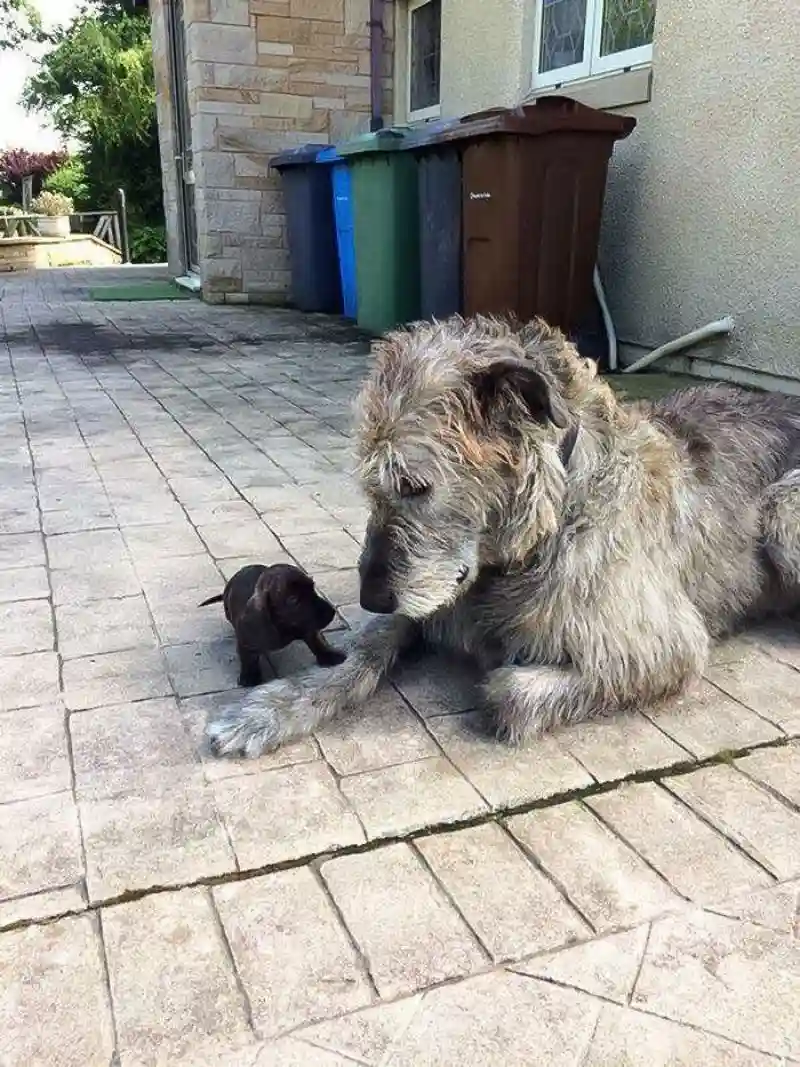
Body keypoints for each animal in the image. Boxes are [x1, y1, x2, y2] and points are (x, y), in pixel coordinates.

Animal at [201, 563, 345, 687]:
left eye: (312, 587)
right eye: (293, 599)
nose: (332, 612)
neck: (283, 626)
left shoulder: (307, 628)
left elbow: (316, 641)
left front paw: (328, 654)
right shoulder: (246, 641)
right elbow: (248, 659)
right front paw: (250, 676)